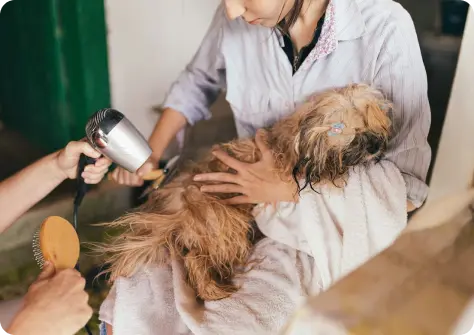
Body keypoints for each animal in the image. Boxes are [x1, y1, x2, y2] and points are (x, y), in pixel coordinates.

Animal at [98, 83, 390, 302]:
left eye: (370, 119)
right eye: (346, 128)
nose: (375, 146)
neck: (296, 137)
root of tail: (179, 206)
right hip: (226, 221)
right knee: (195, 258)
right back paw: (213, 290)